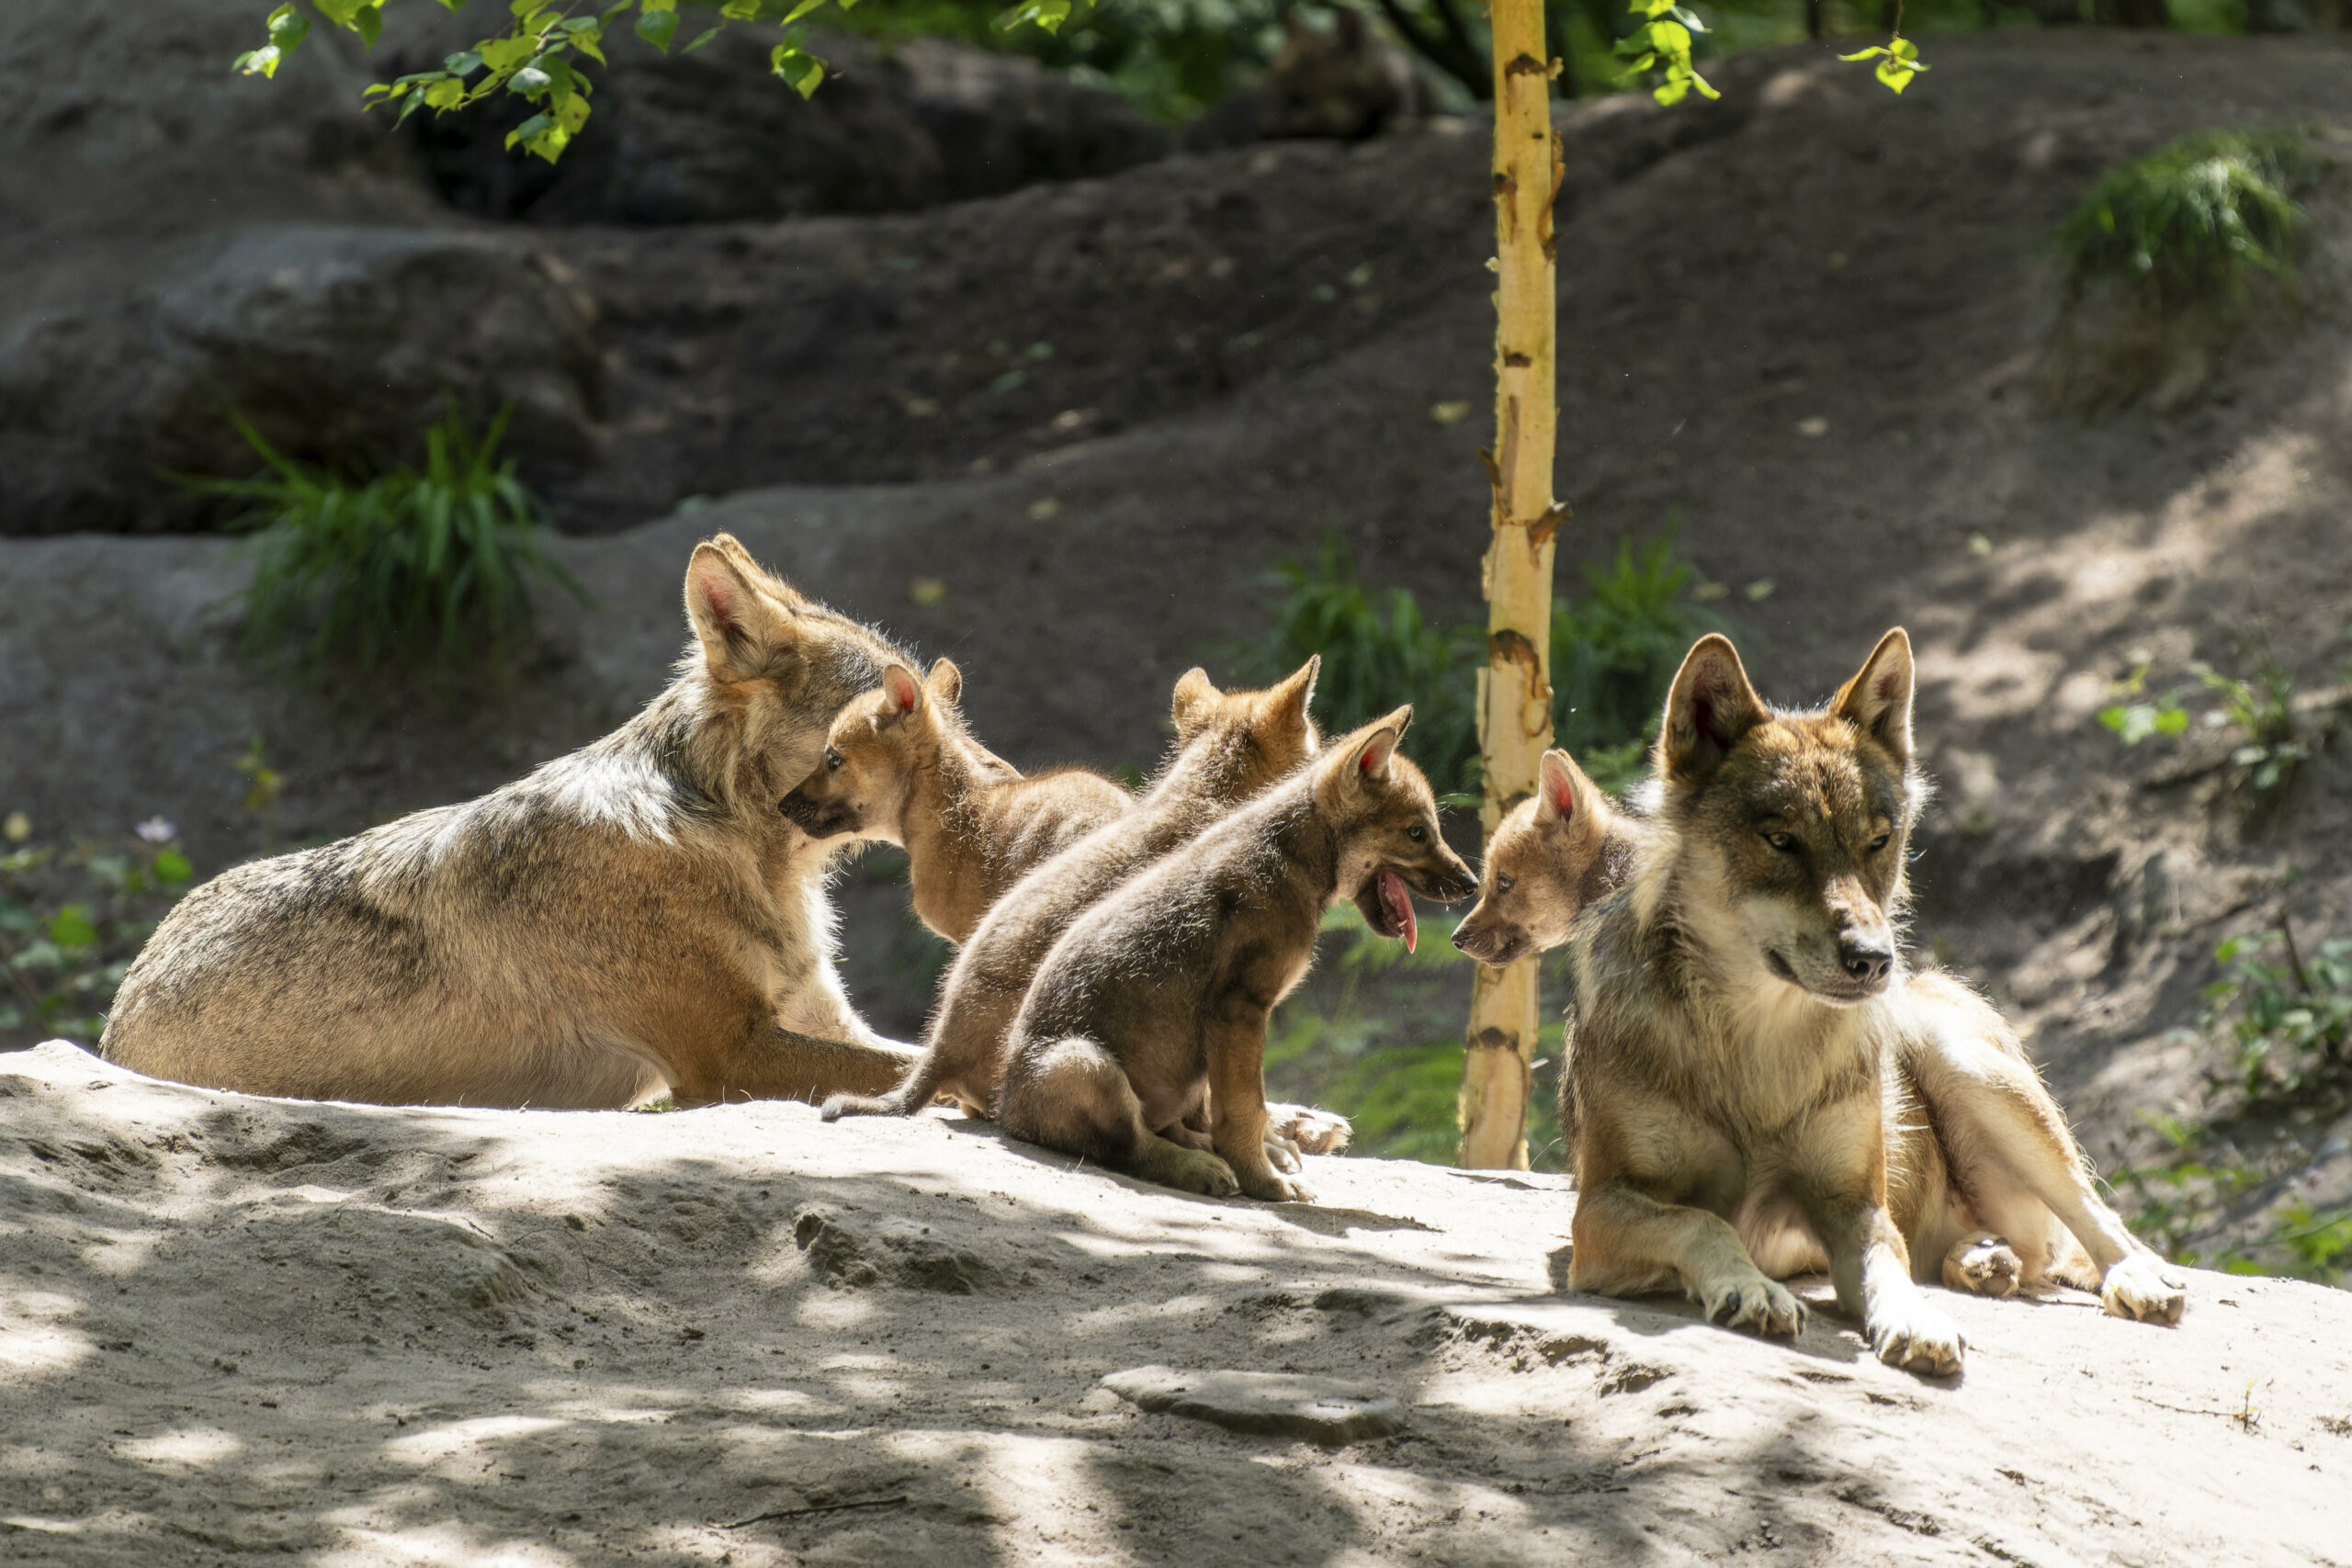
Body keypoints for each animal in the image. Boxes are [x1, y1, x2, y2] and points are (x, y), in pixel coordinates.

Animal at [106, 533, 922, 1109]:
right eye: (888, 707)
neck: (734, 842)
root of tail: (116, 1015)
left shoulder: (819, 1018)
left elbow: (916, 1053)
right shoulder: (729, 1055)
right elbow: (909, 1069)